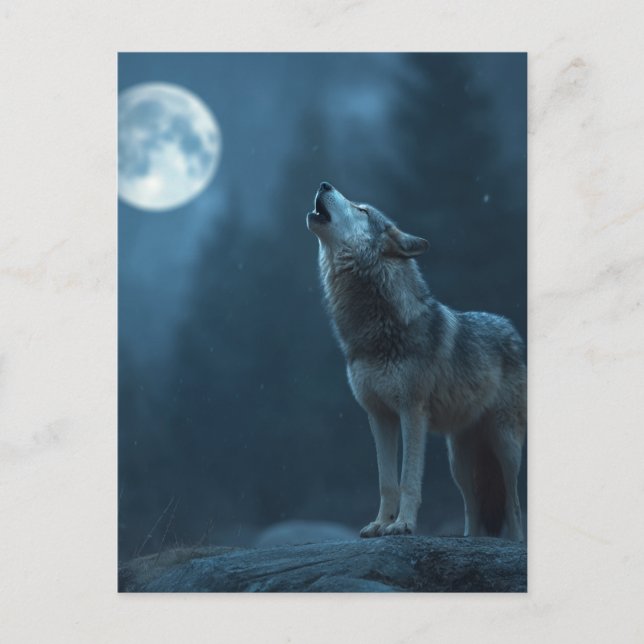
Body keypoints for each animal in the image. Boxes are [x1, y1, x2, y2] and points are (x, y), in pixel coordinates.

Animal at [306, 182, 526, 541]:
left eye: (362, 209)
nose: (324, 184)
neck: (376, 330)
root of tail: (512, 331)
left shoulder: (412, 412)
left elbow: (408, 480)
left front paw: (403, 525)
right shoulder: (379, 416)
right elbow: (386, 482)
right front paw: (380, 524)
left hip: (505, 445)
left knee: (514, 502)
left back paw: (515, 540)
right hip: (459, 461)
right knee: (473, 506)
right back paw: (471, 539)